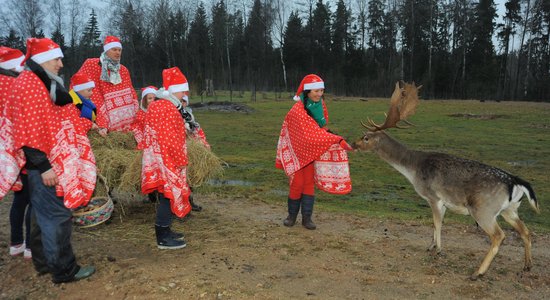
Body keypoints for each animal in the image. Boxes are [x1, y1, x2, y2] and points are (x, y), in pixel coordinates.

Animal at [356, 81, 540, 278]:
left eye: (366, 138)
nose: (353, 144)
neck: (413, 169)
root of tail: (515, 182)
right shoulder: (443, 202)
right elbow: (437, 224)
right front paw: (430, 246)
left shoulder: (433, 196)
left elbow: (437, 223)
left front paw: (438, 250)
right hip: (510, 209)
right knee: (526, 231)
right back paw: (527, 266)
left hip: (484, 209)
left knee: (499, 235)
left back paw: (478, 272)